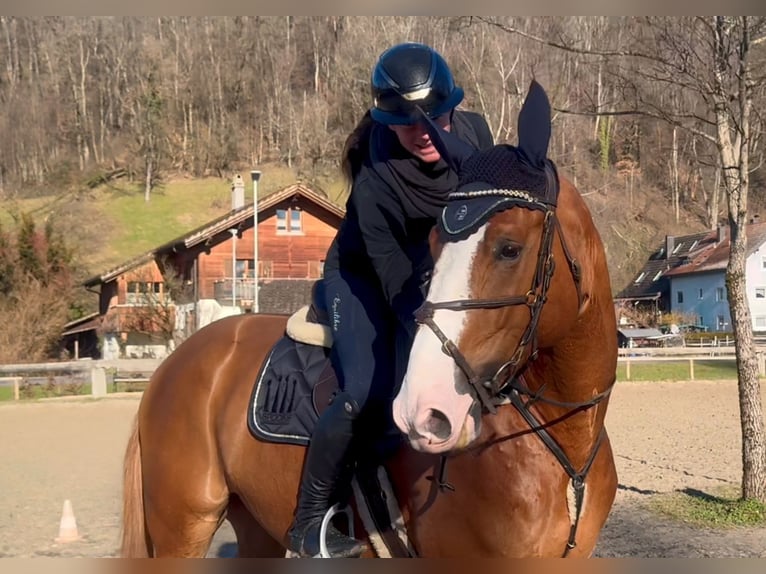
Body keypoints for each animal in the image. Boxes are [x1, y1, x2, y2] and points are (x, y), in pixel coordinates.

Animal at [121, 81, 624, 560]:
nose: (424, 415)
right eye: (435, 243)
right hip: (183, 528)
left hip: (252, 524)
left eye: (509, 248)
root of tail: (173, 363)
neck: (563, 443)